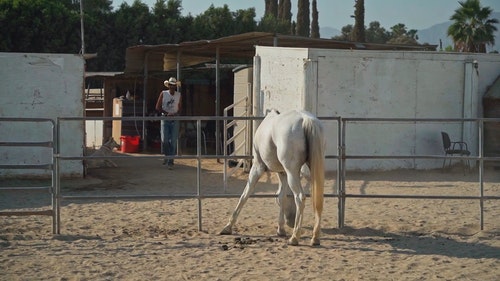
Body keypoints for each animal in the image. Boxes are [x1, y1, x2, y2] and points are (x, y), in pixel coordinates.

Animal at [221, 109, 326, 245]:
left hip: (292, 172)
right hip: (307, 169)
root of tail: (306, 119)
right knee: (317, 199)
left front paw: (228, 227)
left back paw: (294, 237)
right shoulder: (283, 173)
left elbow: (245, 194)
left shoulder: (258, 166)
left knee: (300, 197)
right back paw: (315, 238)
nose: (291, 221)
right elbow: (281, 197)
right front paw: (281, 229)